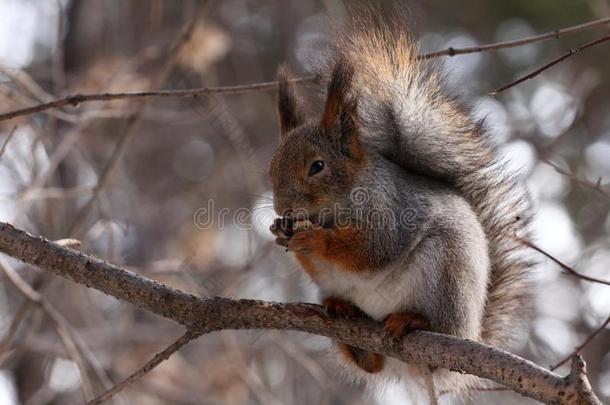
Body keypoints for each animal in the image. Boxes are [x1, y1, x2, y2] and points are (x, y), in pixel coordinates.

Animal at [268, 14, 528, 400]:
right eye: (270, 168)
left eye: (317, 166)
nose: (284, 209)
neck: (337, 204)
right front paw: (280, 234)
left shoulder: (390, 210)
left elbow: (371, 250)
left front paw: (314, 240)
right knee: (372, 365)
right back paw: (349, 324)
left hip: (445, 275)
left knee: (435, 322)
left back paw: (412, 320)